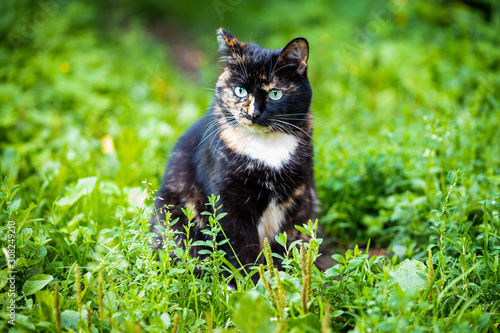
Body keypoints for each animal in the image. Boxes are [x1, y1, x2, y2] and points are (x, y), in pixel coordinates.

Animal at [150, 27, 318, 278]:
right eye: (240, 91)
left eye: (275, 93)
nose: (253, 113)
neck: (266, 147)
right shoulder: (227, 200)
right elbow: (240, 247)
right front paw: (250, 282)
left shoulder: (299, 196)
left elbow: (288, 243)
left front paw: (287, 278)